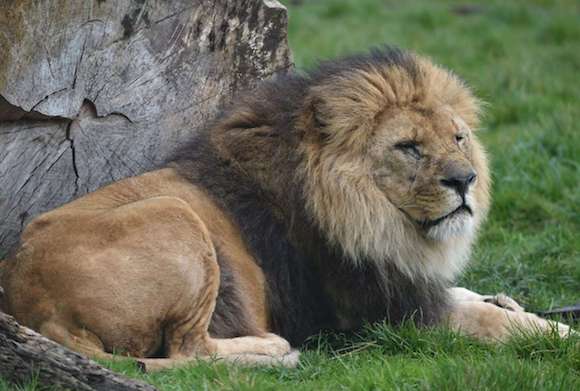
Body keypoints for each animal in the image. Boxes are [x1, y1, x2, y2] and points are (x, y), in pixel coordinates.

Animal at [0, 47, 572, 372]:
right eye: (408, 147)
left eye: (458, 138)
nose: (465, 180)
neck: (383, 223)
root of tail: (34, 306)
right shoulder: (385, 313)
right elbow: (489, 321)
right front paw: (561, 336)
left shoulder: (402, 281)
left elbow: (477, 298)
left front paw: (517, 304)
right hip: (175, 212)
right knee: (188, 353)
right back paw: (279, 352)